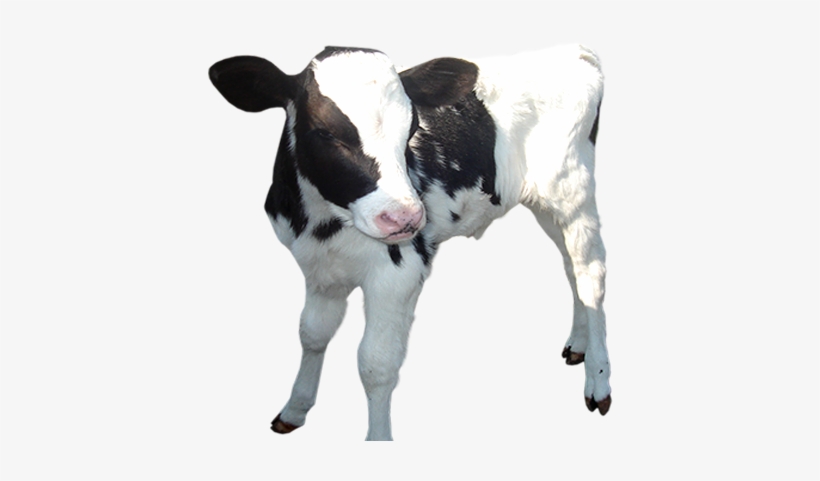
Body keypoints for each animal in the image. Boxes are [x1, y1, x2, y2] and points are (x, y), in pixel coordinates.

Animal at [209, 44, 611, 441]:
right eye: (323, 132)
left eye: (413, 128)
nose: (405, 218)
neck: (321, 222)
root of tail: (573, 50)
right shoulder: (318, 268)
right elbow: (312, 334)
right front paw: (294, 409)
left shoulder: (398, 272)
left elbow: (376, 364)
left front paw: (378, 438)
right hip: (547, 206)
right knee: (571, 268)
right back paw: (578, 345)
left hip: (574, 193)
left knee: (590, 275)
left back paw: (598, 382)